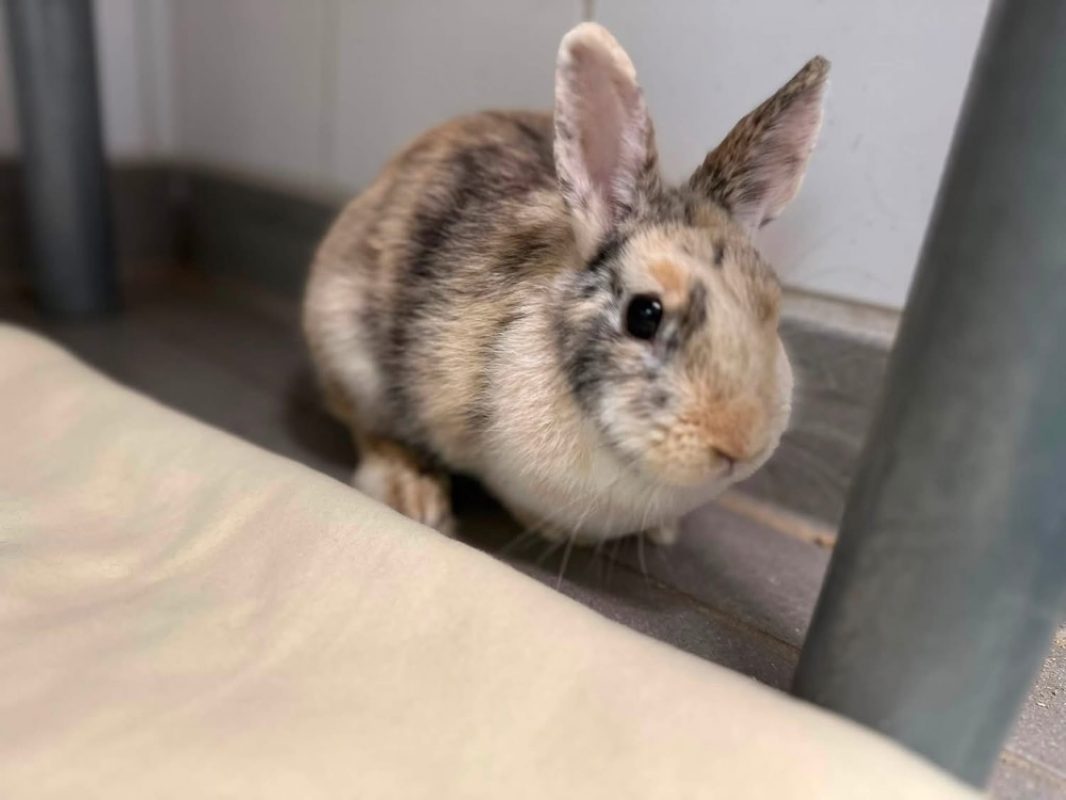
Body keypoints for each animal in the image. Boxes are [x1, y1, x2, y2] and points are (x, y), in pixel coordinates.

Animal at [303, 22, 828, 545]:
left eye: (772, 307)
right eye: (644, 315)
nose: (740, 441)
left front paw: (663, 530)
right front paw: (550, 528)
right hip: (349, 352)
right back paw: (412, 494)